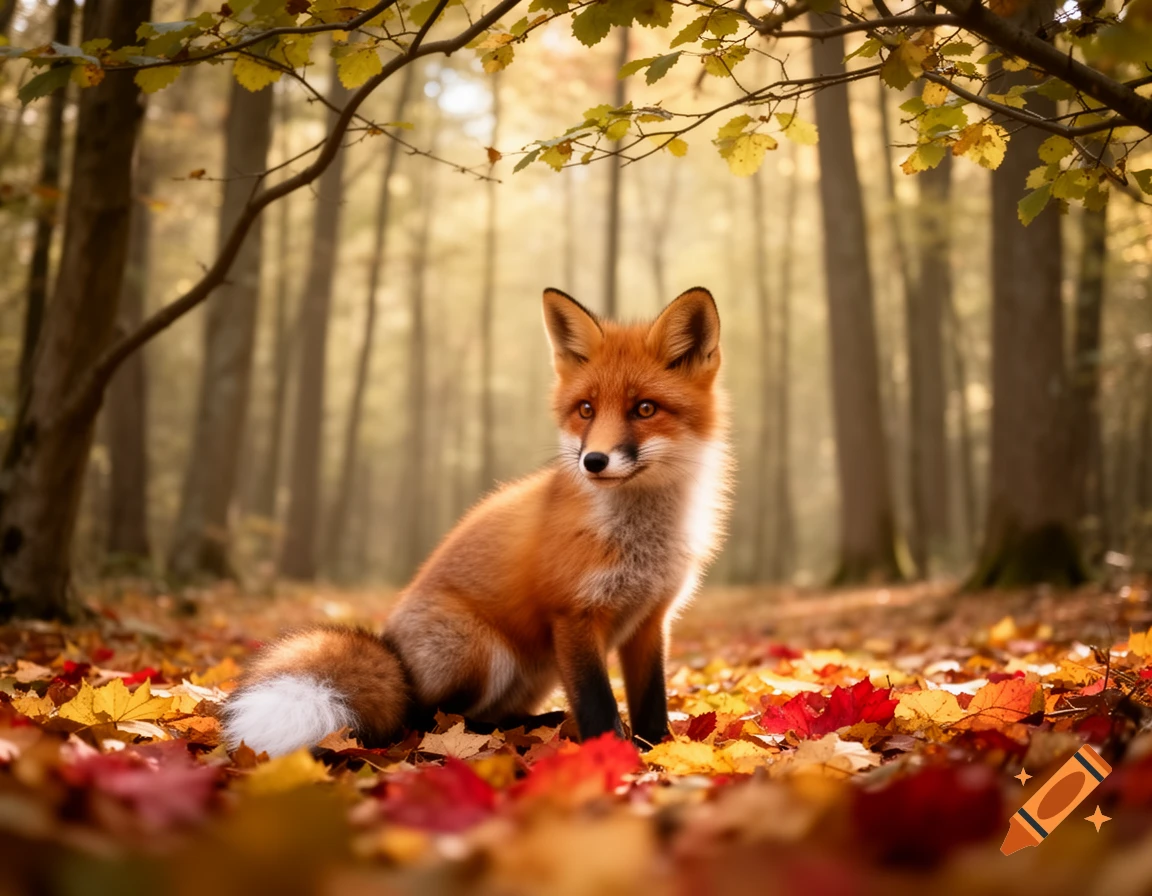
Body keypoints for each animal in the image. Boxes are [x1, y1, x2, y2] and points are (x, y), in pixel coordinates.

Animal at [222, 286, 731, 756]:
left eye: (644, 409)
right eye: (586, 409)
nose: (594, 461)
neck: (641, 539)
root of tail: (394, 655)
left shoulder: (651, 619)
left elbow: (651, 700)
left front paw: (660, 750)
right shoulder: (574, 615)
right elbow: (597, 704)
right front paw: (614, 755)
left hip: (538, 672)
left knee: (492, 714)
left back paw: (538, 724)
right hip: (481, 653)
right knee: (430, 720)